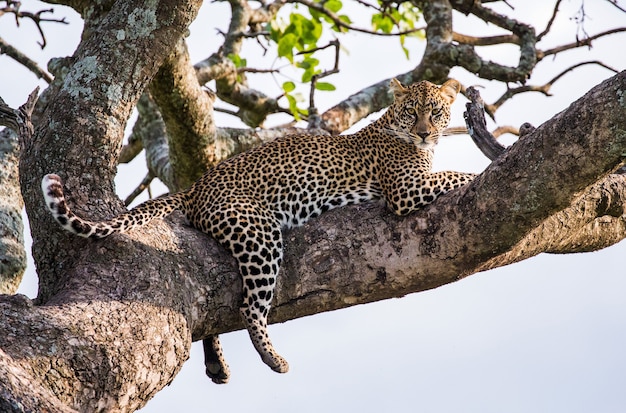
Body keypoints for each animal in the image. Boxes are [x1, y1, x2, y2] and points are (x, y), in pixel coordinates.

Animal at [42, 79, 472, 384]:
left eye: (435, 112)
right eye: (412, 111)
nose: (423, 133)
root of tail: (197, 186)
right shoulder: (405, 189)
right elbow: (457, 174)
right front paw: (481, 168)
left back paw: (218, 364)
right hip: (260, 234)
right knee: (249, 306)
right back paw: (274, 358)